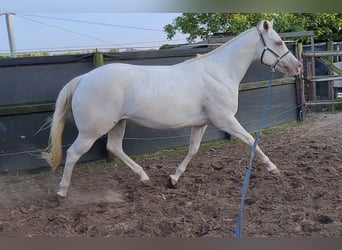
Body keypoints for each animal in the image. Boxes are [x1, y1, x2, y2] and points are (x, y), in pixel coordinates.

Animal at [42, 20, 302, 196]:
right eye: (278, 42)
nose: (297, 66)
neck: (218, 72)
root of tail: (84, 79)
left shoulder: (202, 124)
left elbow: (193, 150)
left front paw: (173, 179)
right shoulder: (225, 120)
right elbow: (250, 140)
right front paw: (273, 168)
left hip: (118, 124)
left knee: (114, 148)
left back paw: (145, 178)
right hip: (91, 131)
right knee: (73, 154)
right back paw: (62, 191)